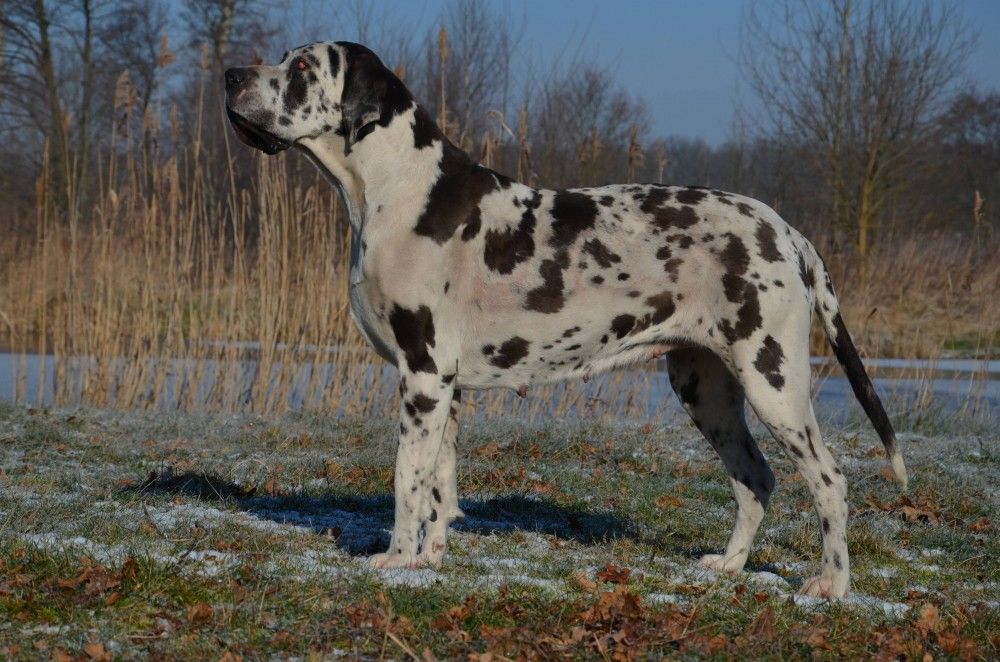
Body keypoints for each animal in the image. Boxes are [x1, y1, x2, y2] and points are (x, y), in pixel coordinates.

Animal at [224, 41, 907, 598]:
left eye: (302, 67)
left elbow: (405, 481)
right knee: (755, 479)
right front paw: (428, 559)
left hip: (774, 383)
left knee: (830, 479)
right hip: (706, 390)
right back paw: (731, 565)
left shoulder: (421, 375)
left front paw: (395, 560)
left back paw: (831, 585)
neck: (398, 192)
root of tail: (788, 232)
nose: (231, 74)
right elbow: (439, 485)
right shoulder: (446, 388)